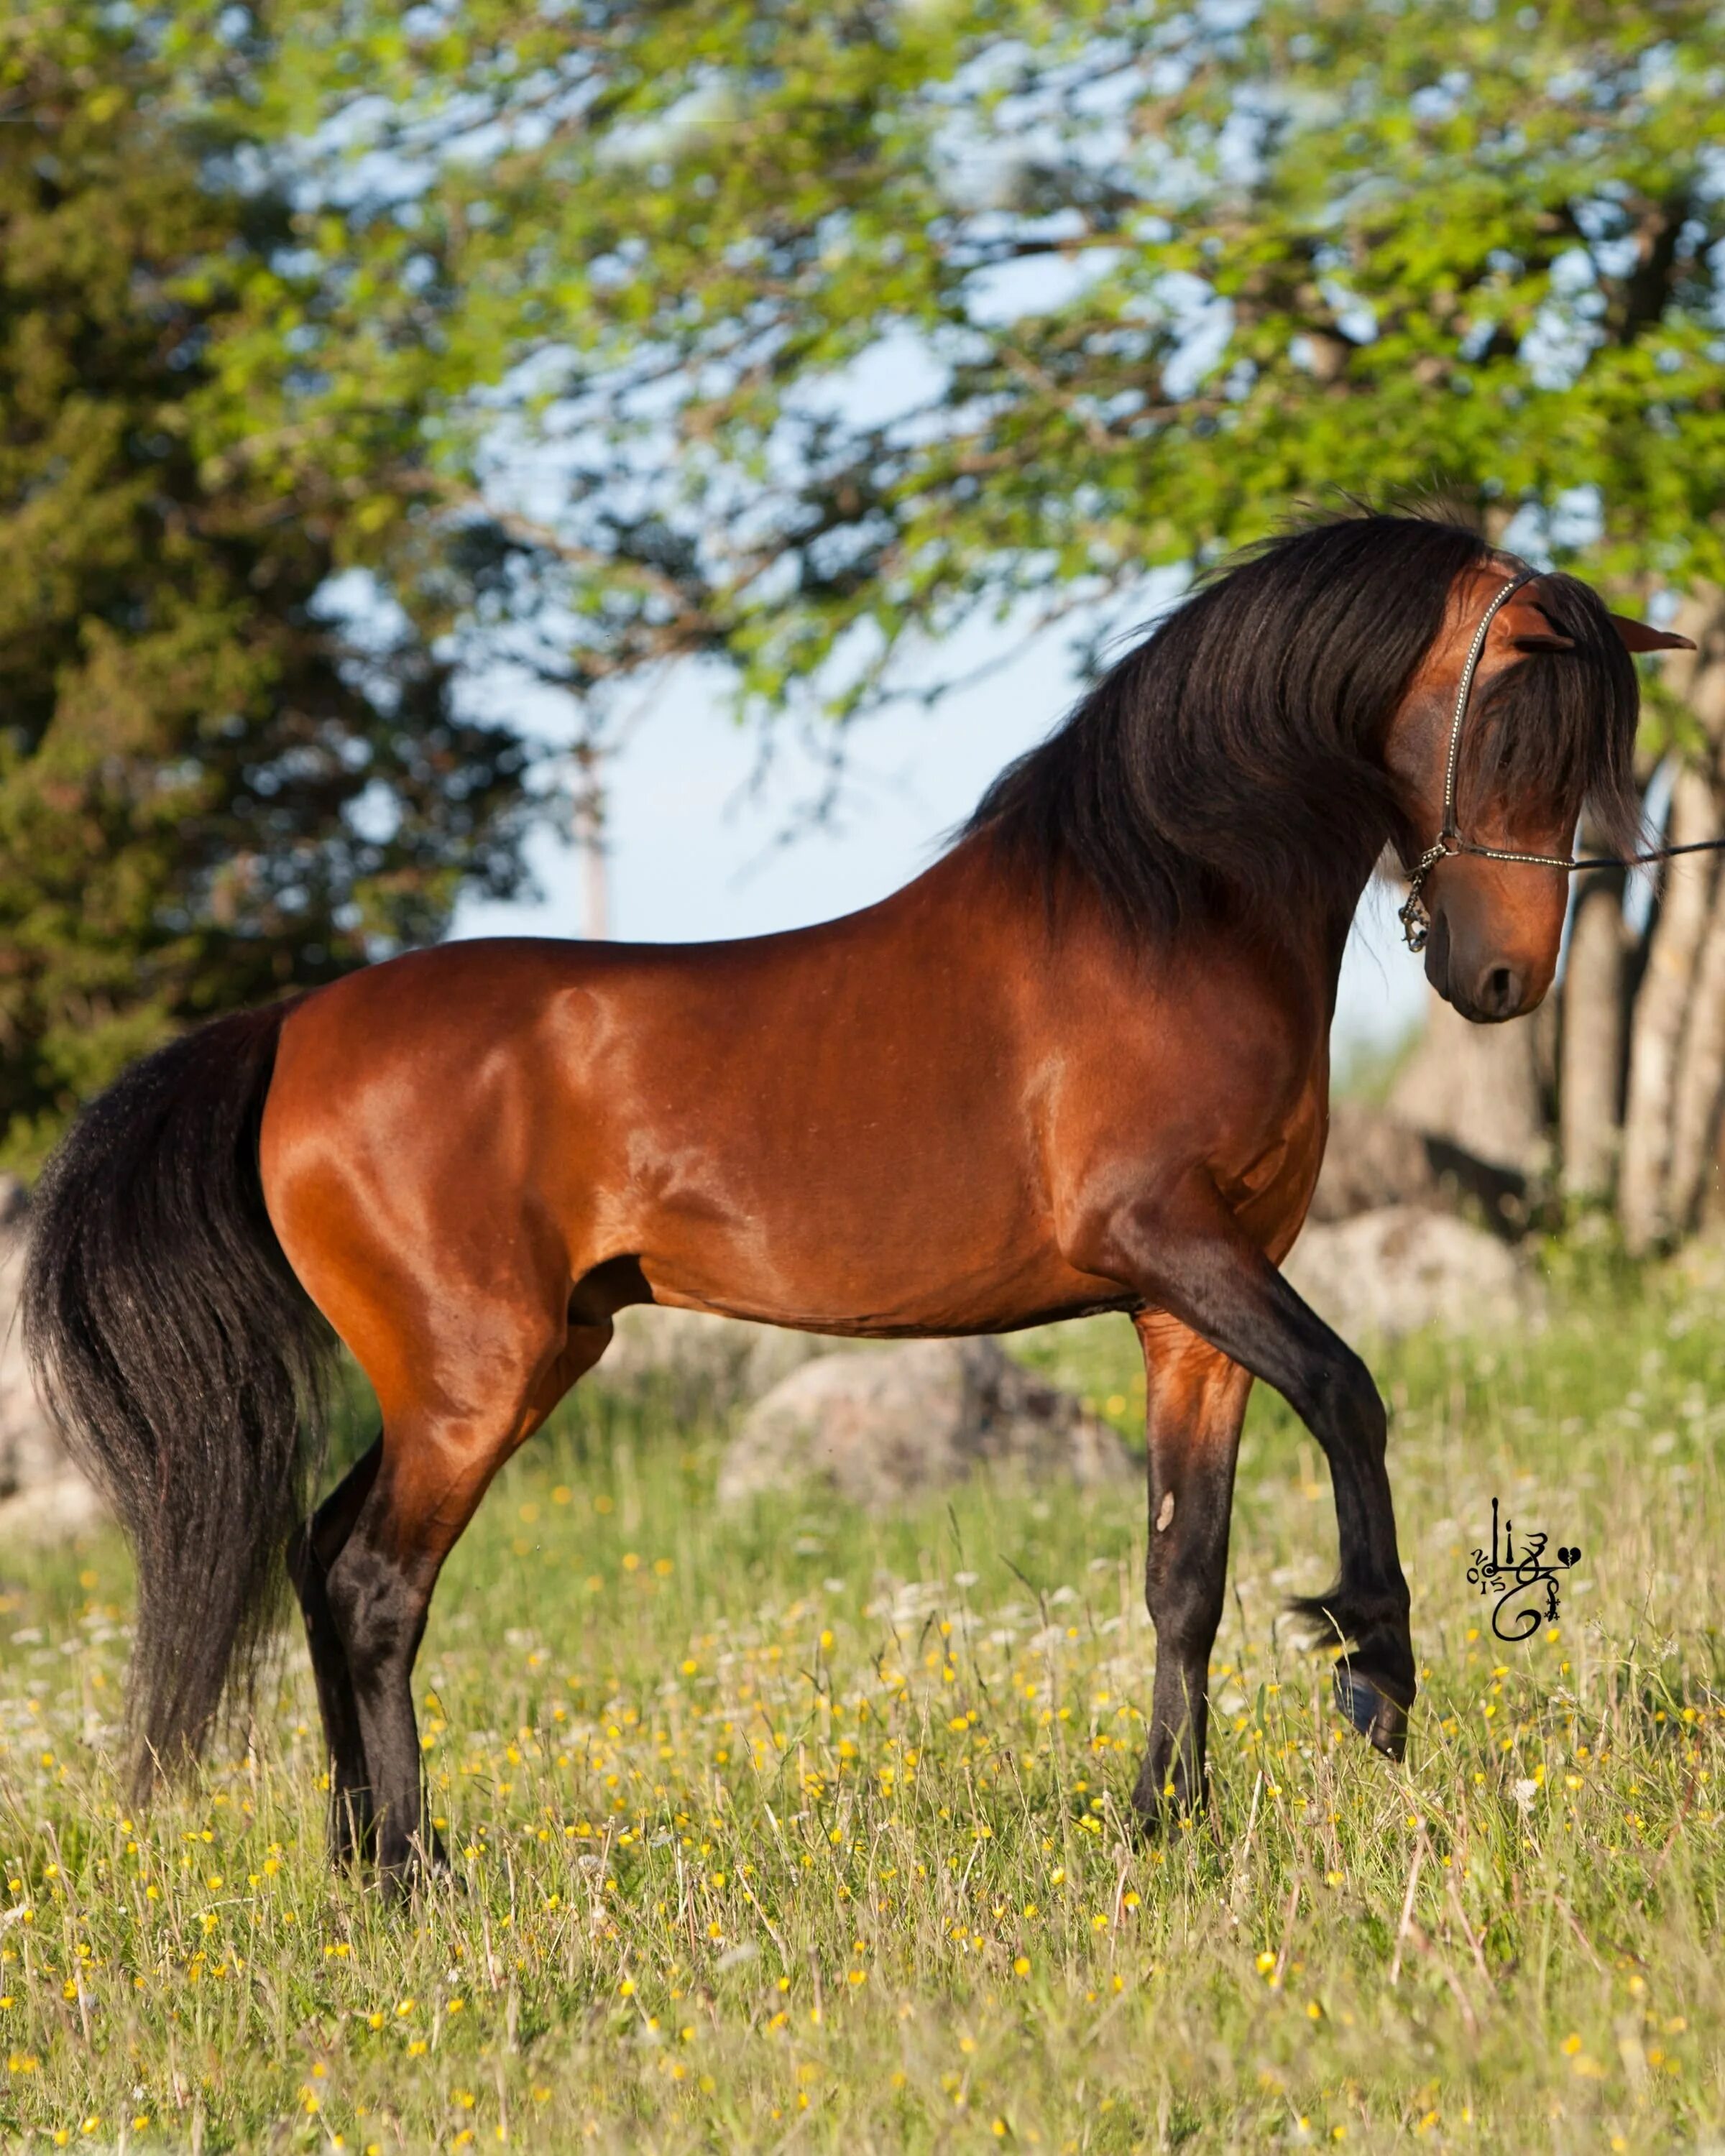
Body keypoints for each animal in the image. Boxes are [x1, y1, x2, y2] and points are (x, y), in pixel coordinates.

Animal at [20, 509, 1682, 1889]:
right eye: (1515, 736)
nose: (1501, 981)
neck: (1168, 912)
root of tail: (294, 1030)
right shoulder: (1171, 1244)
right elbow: (1351, 1394)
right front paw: (1372, 1671)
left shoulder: (1186, 1311)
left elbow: (1183, 1571)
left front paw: (1170, 1819)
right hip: (472, 1380)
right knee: (373, 1585)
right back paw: (416, 1877)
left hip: (510, 1364)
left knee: (319, 1563)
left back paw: (360, 1868)